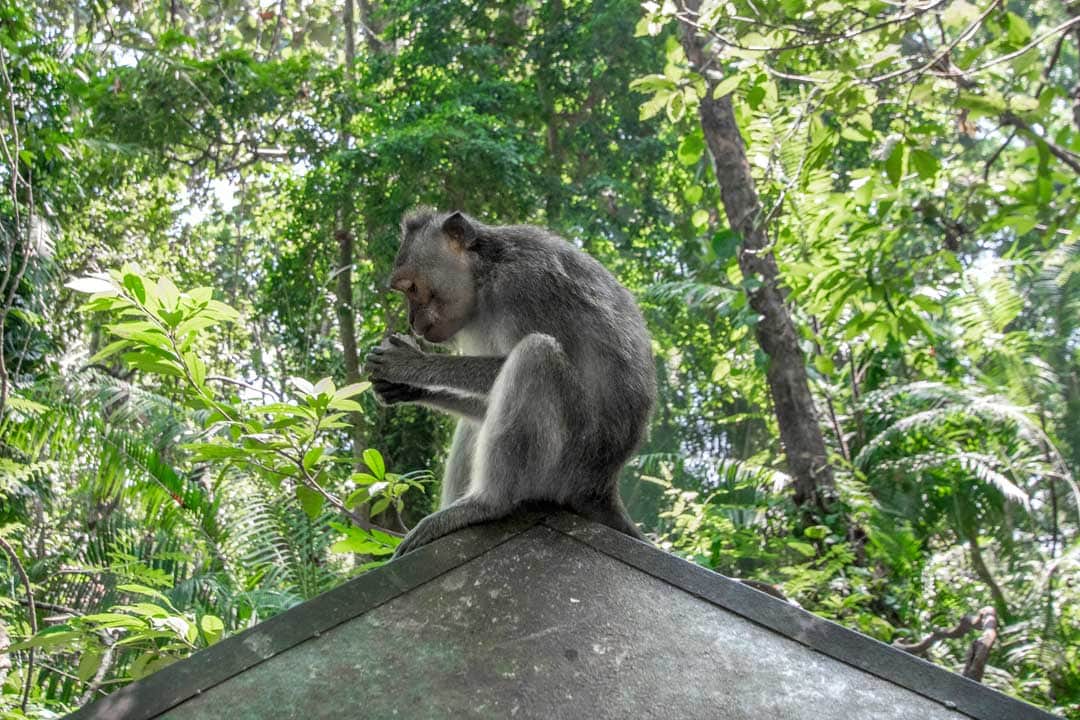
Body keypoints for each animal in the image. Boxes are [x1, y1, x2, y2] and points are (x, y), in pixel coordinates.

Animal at [362, 208, 652, 557]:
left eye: (413, 288)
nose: (412, 322)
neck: (484, 274)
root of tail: (602, 486)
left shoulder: (525, 286)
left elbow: (508, 363)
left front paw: (410, 365)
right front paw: (406, 388)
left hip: (569, 461)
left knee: (535, 355)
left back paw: (485, 504)